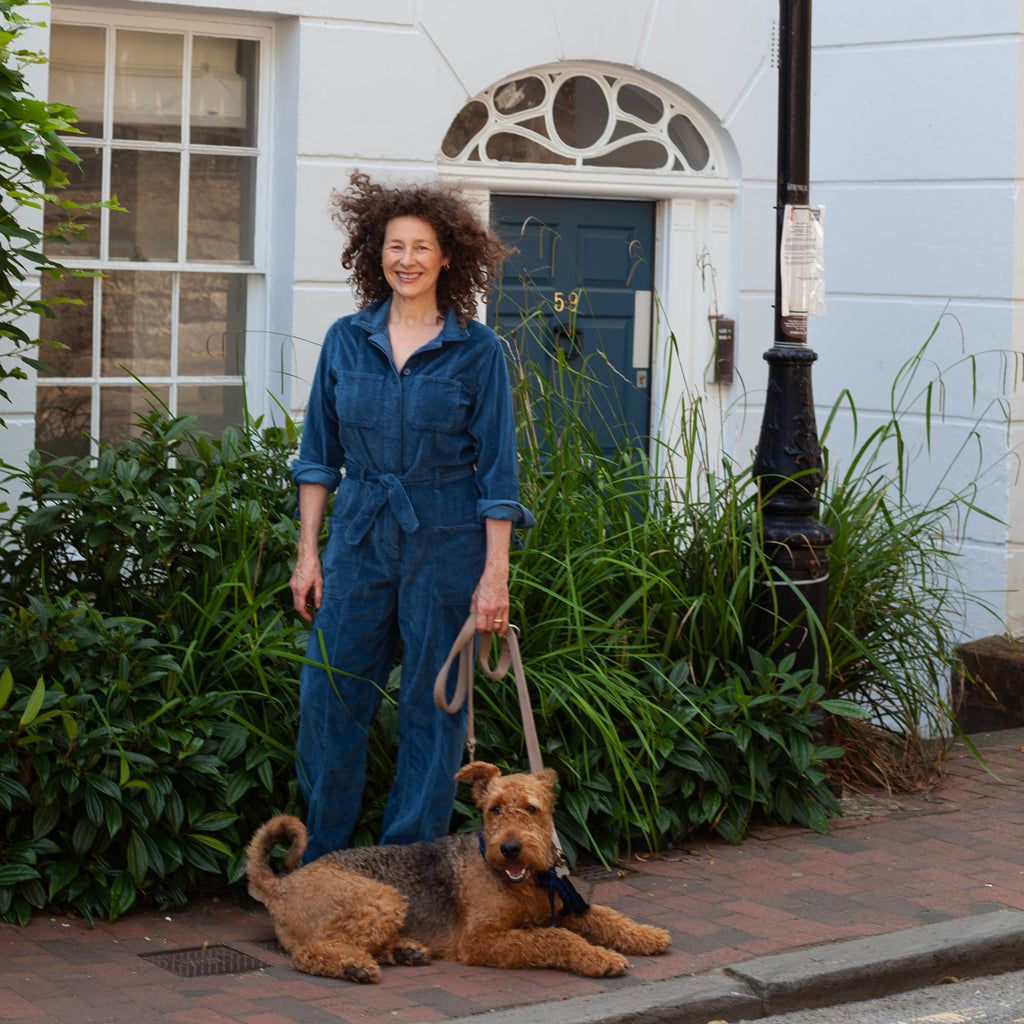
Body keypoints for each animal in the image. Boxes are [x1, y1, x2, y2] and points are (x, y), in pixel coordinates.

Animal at [246, 761, 671, 983]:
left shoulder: (565, 907)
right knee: (311, 951)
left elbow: (607, 917)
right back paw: (356, 967)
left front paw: (647, 936)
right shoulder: (481, 940)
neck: (523, 882)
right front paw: (601, 958)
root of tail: (279, 885)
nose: (510, 848)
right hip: (380, 898)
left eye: (531, 808)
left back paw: (405, 952)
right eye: (494, 809)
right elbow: (554, 939)